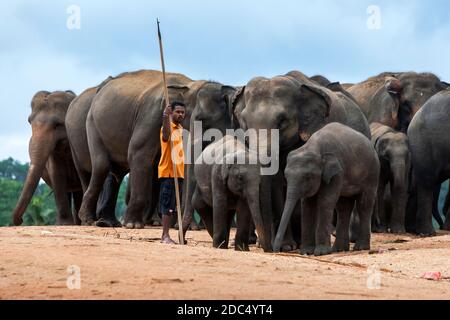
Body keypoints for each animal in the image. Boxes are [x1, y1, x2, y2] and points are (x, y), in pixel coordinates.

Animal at [76, 69, 207, 229]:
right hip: (92, 124)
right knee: (102, 166)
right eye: (199, 118)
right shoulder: (150, 116)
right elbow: (138, 153)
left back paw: (108, 222)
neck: (187, 84)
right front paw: (132, 225)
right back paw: (89, 220)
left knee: (116, 171)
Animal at [274, 121, 380, 256]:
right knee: (343, 207)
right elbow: (308, 205)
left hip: (372, 174)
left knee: (364, 205)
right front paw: (307, 252)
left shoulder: (337, 172)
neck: (313, 147)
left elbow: (325, 201)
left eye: (307, 177)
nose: (276, 250)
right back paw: (339, 249)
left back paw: (360, 248)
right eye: (286, 176)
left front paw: (321, 252)